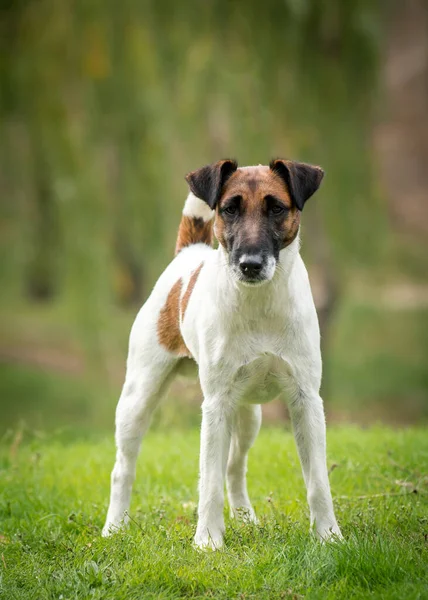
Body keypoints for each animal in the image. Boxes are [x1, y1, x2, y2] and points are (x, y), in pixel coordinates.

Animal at [103, 159, 342, 548]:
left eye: (276, 208)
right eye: (230, 209)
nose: (250, 264)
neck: (259, 304)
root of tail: (187, 254)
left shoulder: (306, 401)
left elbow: (318, 481)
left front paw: (329, 536)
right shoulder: (215, 406)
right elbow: (209, 483)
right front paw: (208, 542)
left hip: (247, 416)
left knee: (234, 466)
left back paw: (246, 518)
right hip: (138, 400)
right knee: (123, 468)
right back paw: (114, 527)